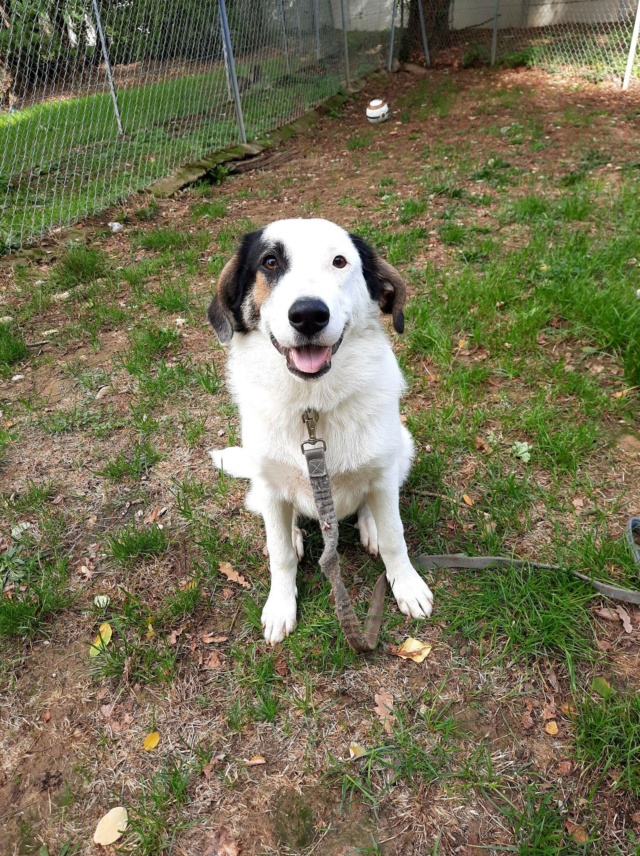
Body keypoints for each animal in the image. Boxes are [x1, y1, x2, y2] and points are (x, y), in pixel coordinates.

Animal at [208, 217, 432, 644]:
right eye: (270, 261)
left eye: (340, 261)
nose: (309, 314)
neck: (311, 407)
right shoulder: (271, 484)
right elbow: (279, 555)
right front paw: (281, 605)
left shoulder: (382, 474)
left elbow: (395, 538)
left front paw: (407, 585)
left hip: (403, 447)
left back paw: (368, 525)